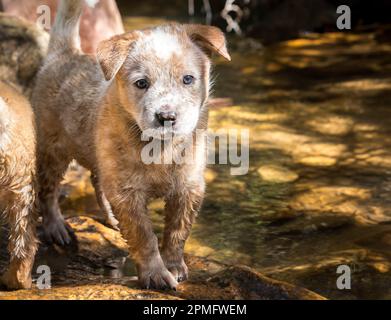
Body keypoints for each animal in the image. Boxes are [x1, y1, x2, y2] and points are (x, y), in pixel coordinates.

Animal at [33, 0, 230, 290]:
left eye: (188, 79)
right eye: (141, 83)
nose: (166, 116)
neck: (160, 150)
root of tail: (66, 54)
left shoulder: (188, 186)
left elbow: (177, 231)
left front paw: (174, 266)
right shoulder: (128, 192)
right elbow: (144, 236)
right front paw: (156, 274)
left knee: (97, 180)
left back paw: (111, 219)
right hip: (52, 149)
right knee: (48, 191)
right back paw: (55, 228)